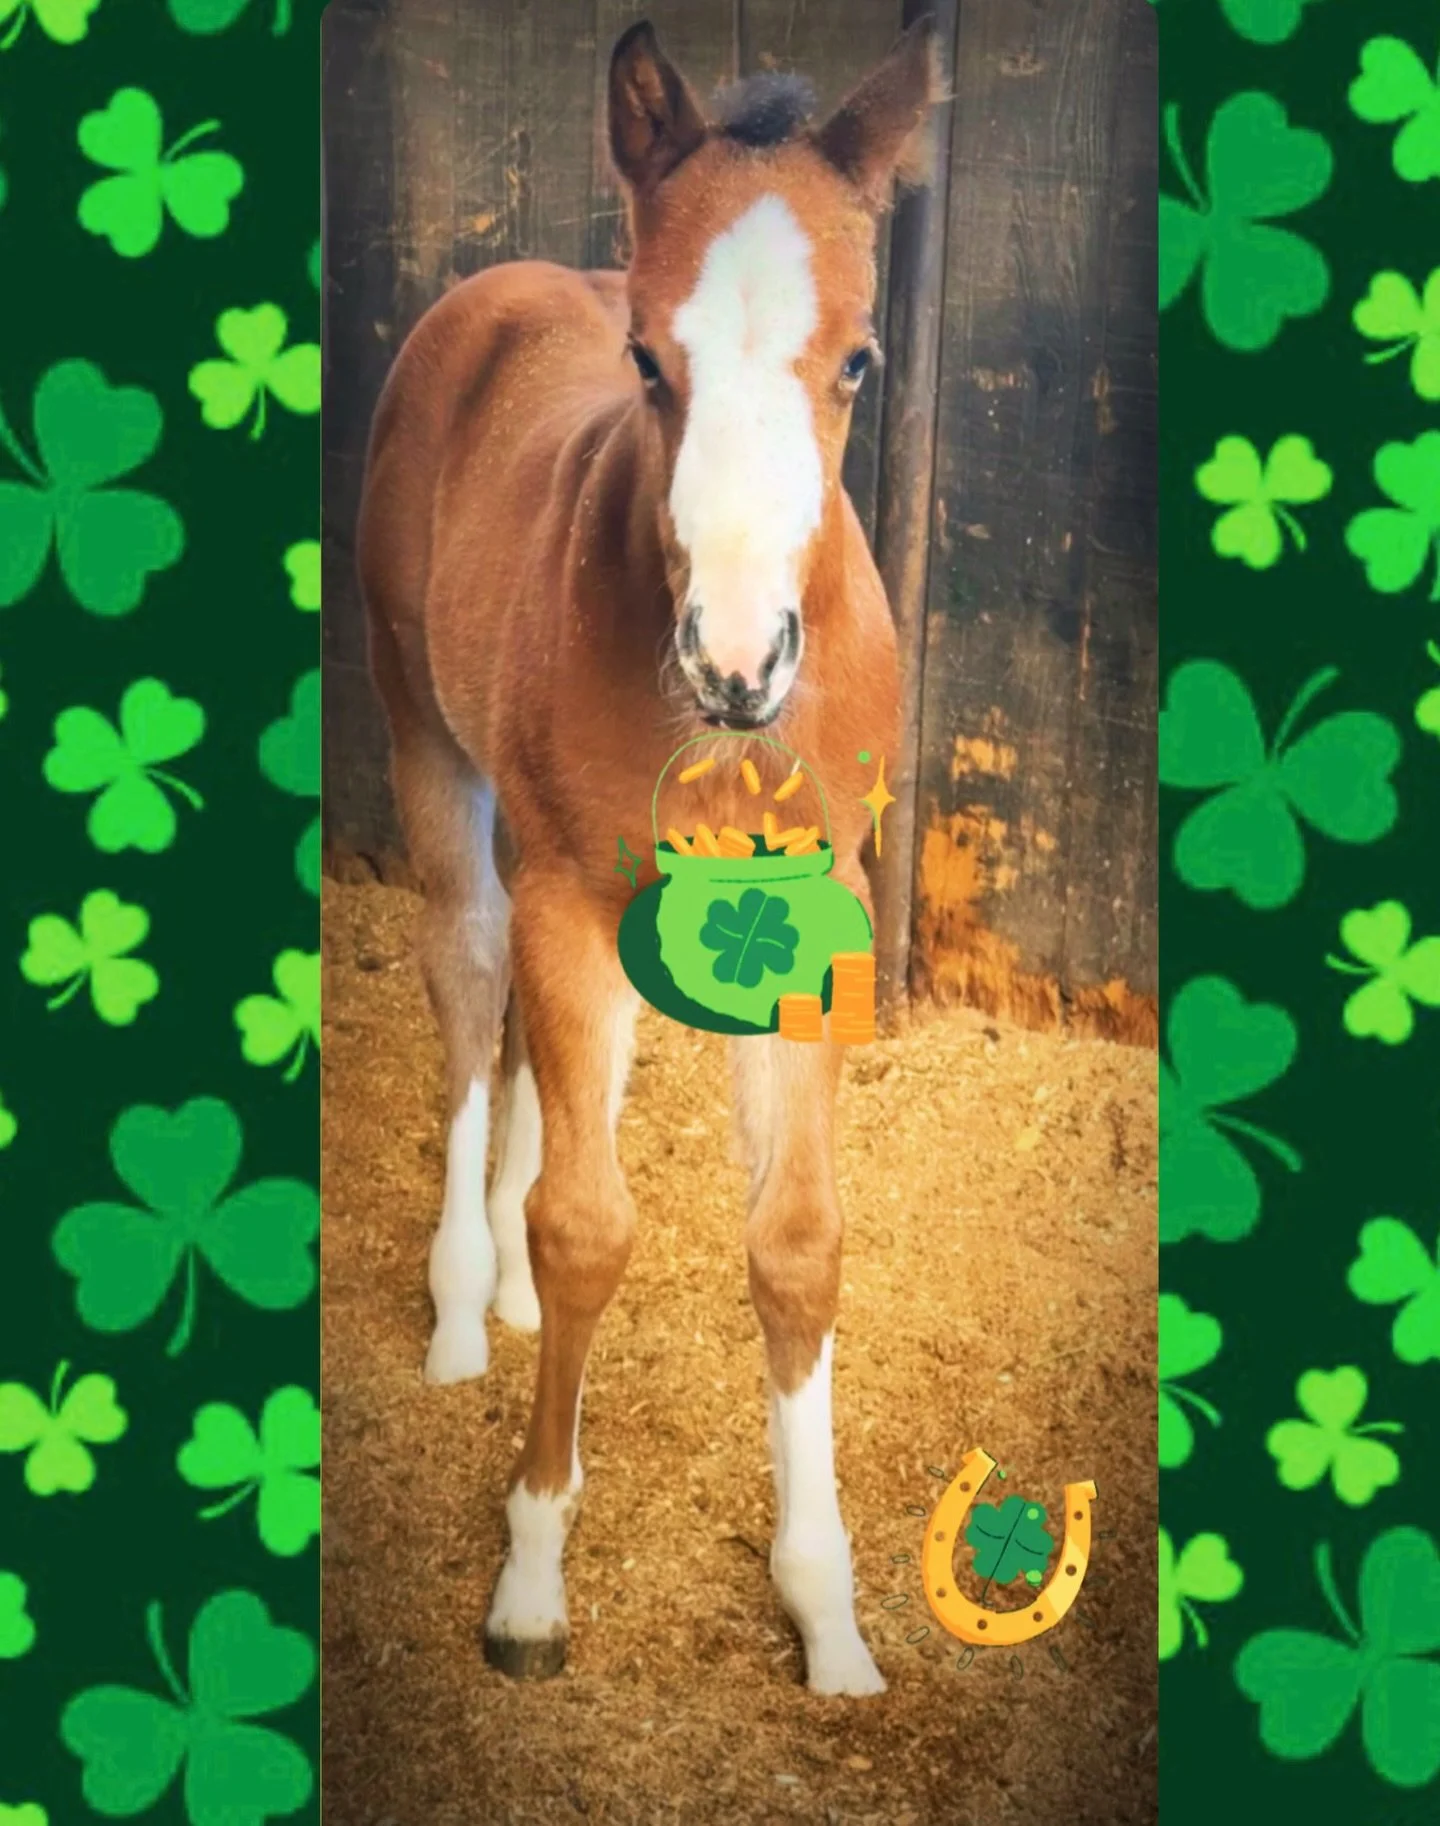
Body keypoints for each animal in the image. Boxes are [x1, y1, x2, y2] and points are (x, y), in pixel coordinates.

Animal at [355, 15, 942, 1697]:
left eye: (858, 361)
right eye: (647, 364)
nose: (737, 663)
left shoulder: (814, 920)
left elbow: (796, 1244)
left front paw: (829, 1615)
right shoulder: (568, 884)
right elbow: (588, 1228)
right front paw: (531, 1582)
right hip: (428, 741)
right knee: (472, 985)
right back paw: (460, 1305)